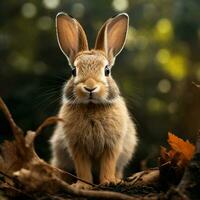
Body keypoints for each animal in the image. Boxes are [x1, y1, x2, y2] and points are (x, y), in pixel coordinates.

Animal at [49, 11, 138, 190]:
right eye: (73, 71)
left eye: (107, 70)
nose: (90, 87)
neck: (92, 107)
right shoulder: (77, 146)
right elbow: (82, 166)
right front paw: (82, 186)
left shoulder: (112, 145)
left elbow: (108, 163)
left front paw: (109, 181)